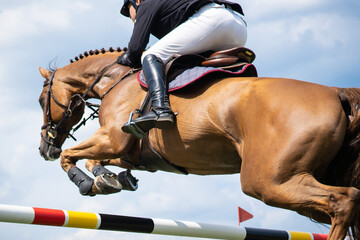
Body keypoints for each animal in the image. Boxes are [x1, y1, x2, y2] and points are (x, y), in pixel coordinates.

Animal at [38, 47, 360, 239]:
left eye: (42, 100)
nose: (44, 149)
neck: (115, 80)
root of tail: (337, 92)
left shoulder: (112, 139)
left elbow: (71, 156)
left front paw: (86, 182)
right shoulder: (132, 153)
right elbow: (96, 160)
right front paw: (107, 178)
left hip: (269, 181)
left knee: (343, 201)